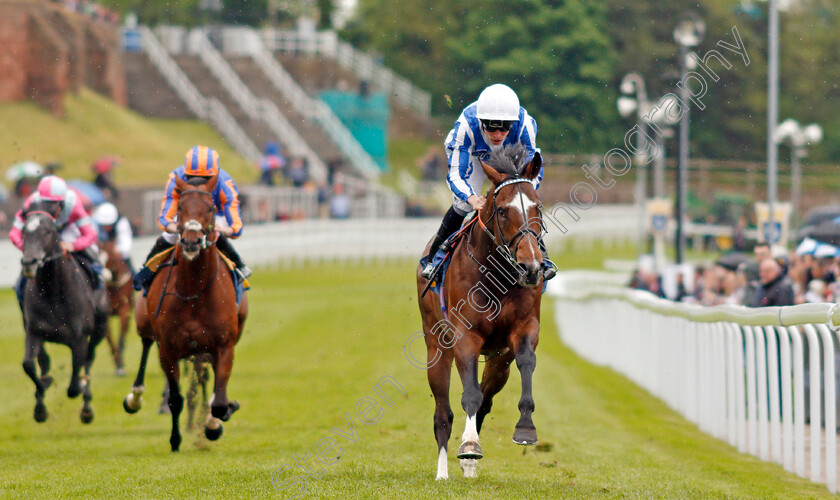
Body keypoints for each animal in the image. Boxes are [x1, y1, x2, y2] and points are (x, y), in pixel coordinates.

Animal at [18, 206, 108, 422]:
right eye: (24, 232)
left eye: (48, 232)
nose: (29, 262)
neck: (52, 292)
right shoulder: (34, 332)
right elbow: (29, 365)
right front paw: (44, 387)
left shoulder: (79, 338)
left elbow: (74, 384)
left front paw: (81, 388)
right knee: (43, 361)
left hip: (100, 328)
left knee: (89, 359)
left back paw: (86, 406)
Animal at [99, 238, 134, 376]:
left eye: (112, 258)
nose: (102, 276)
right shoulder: (106, 315)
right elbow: (110, 341)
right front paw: (118, 364)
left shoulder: (124, 311)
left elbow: (121, 339)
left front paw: (121, 366)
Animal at [122, 174, 246, 452]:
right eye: (179, 207)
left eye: (211, 208)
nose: (190, 241)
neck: (194, 292)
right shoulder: (168, 348)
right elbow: (175, 399)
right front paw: (175, 440)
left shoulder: (224, 345)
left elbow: (219, 402)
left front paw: (215, 423)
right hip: (145, 323)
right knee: (146, 347)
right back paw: (134, 397)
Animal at [416, 146, 544, 480]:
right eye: (503, 211)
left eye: (538, 207)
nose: (531, 267)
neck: (497, 275)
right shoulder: (466, 335)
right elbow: (469, 394)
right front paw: (470, 445)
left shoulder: (524, 328)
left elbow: (526, 363)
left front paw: (526, 428)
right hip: (436, 346)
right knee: (443, 412)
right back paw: (444, 471)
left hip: (499, 360)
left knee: (486, 398)